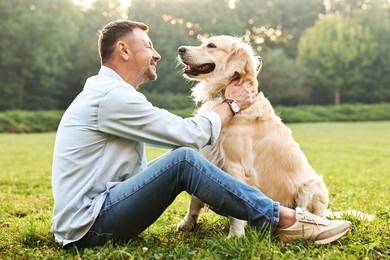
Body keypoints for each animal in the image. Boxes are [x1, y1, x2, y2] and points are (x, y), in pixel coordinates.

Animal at [177, 35, 330, 238]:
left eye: (211, 45)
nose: (180, 49)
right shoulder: (208, 159)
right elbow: (195, 199)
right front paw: (187, 224)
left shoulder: (236, 165)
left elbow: (236, 203)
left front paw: (235, 236)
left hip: (311, 188)